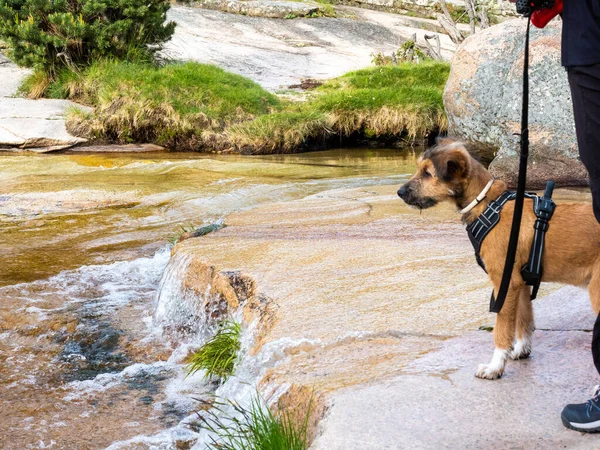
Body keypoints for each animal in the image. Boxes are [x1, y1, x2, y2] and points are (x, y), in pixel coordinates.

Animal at [398, 137, 600, 380]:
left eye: (428, 173)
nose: (400, 192)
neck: (486, 204)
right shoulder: (520, 284)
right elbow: (524, 320)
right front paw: (521, 350)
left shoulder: (505, 283)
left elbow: (502, 330)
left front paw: (495, 367)